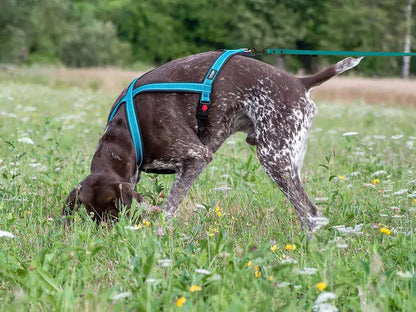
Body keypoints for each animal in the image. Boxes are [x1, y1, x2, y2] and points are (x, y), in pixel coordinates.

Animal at [62, 51, 360, 232]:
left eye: (114, 214)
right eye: (92, 216)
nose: (109, 236)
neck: (126, 131)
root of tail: (300, 83)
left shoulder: (196, 156)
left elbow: (168, 208)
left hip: (274, 159)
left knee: (310, 212)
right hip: (288, 158)